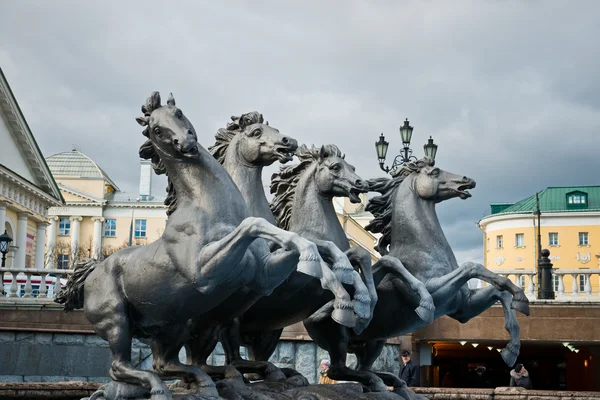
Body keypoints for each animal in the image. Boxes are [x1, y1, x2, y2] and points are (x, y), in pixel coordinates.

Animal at [54, 93, 354, 400]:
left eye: (179, 113)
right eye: (156, 129)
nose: (185, 142)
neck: (209, 207)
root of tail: (92, 270)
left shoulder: (262, 277)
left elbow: (326, 249)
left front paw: (346, 288)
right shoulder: (207, 278)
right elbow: (256, 226)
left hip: (179, 324)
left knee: (171, 364)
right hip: (120, 320)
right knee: (132, 366)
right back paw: (171, 387)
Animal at [304, 158, 528, 392]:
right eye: (435, 172)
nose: (467, 180)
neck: (423, 250)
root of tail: (308, 316)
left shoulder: (462, 309)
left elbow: (500, 292)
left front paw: (515, 332)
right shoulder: (437, 294)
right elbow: (470, 267)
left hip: (375, 340)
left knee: (361, 368)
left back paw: (391, 381)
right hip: (338, 337)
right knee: (337, 370)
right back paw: (381, 381)